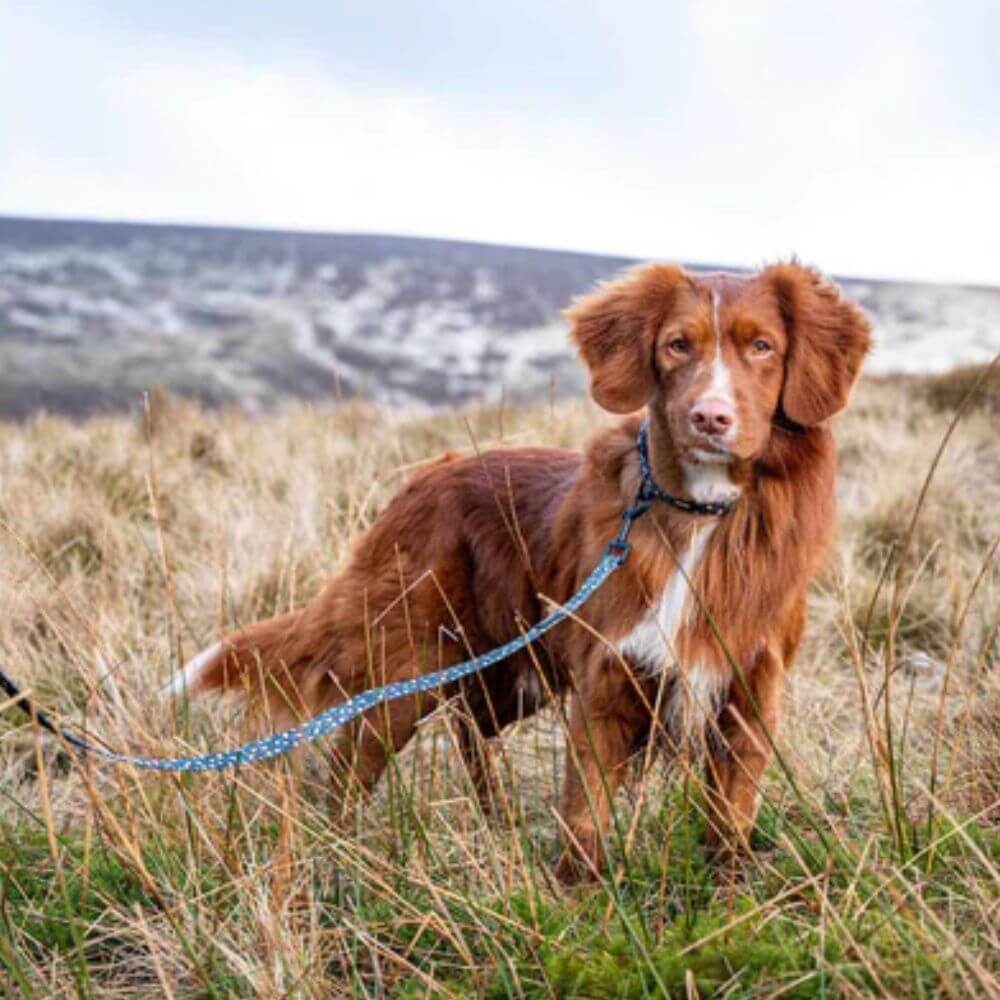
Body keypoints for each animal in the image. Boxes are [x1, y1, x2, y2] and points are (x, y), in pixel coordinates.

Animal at [164, 262, 868, 880]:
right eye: (677, 345)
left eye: (762, 346)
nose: (711, 418)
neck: (700, 512)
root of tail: (426, 476)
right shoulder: (605, 681)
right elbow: (585, 816)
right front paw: (579, 900)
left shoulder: (750, 690)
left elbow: (730, 817)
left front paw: (727, 891)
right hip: (410, 660)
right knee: (355, 761)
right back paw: (338, 852)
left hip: (508, 668)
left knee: (471, 727)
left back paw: (495, 824)